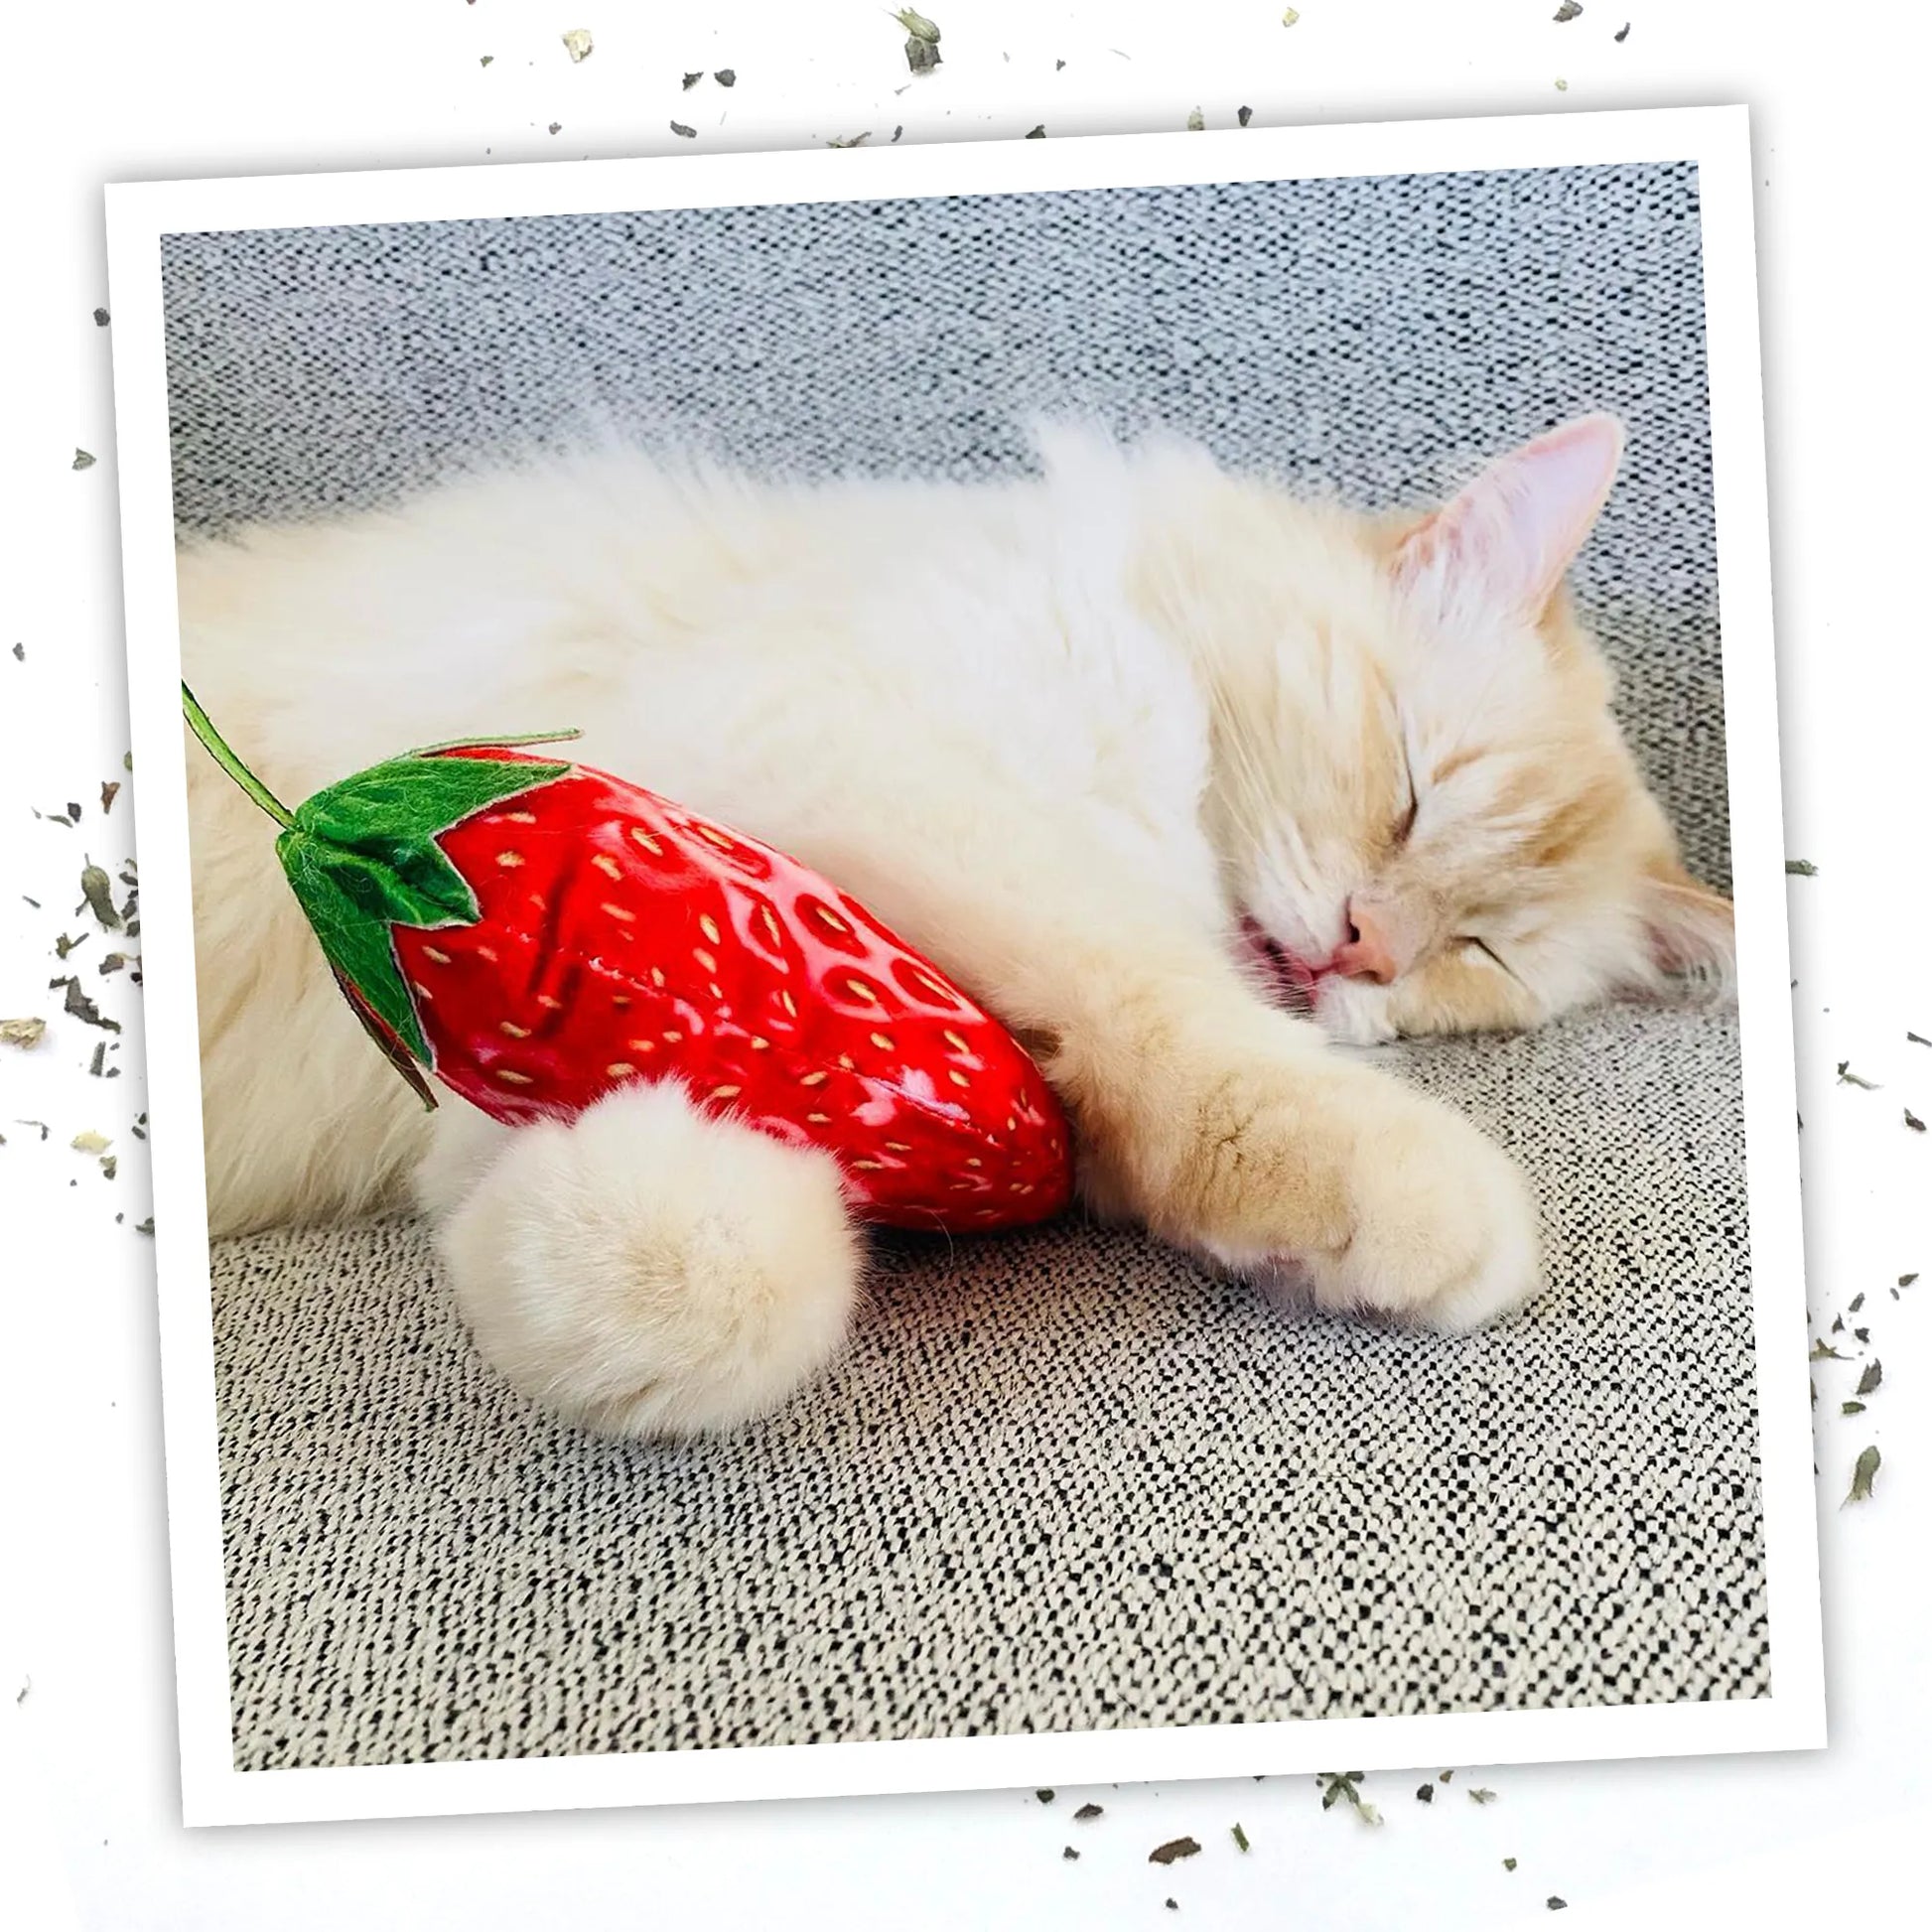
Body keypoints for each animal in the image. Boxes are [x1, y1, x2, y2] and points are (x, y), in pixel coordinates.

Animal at [181, 411, 1738, 1437]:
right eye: (1411, 790)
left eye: (1476, 953)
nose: (1364, 946)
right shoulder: (844, 773)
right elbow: (1166, 1018)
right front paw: (1406, 1191)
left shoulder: (529, 1024)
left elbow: (717, 1267)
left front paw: (576, 1263)